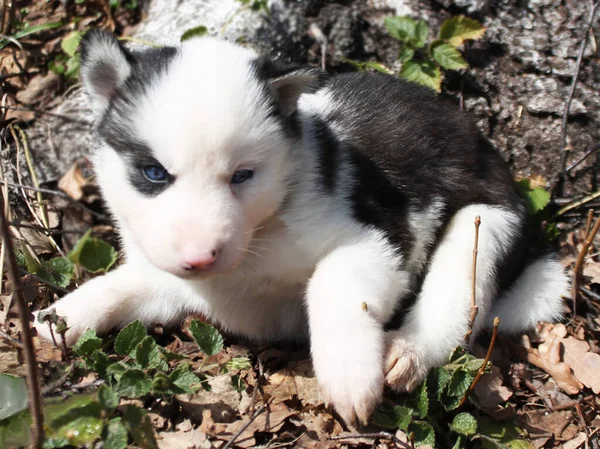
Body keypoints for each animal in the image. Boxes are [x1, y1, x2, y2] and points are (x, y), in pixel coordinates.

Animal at [35, 29, 568, 426]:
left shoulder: (382, 235)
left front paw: (349, 372)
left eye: (243, 175)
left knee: (456, 307)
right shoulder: (173, 281)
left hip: (482, 225)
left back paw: (408, 352)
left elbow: (332, 284)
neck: (259, 240)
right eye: (153, 173)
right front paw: (59, 316)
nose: (199, 257)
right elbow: (122, 284)